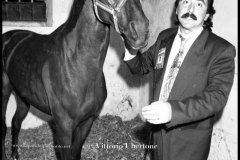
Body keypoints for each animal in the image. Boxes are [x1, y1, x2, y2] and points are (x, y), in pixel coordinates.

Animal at [1, 0, 148, 159]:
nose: (141, 30)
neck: (77, 65)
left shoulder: (87, 121)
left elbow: (76, 152)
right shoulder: (63, 126)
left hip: (23, 96)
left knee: (16, 122)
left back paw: (15, 154)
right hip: (5, 92)